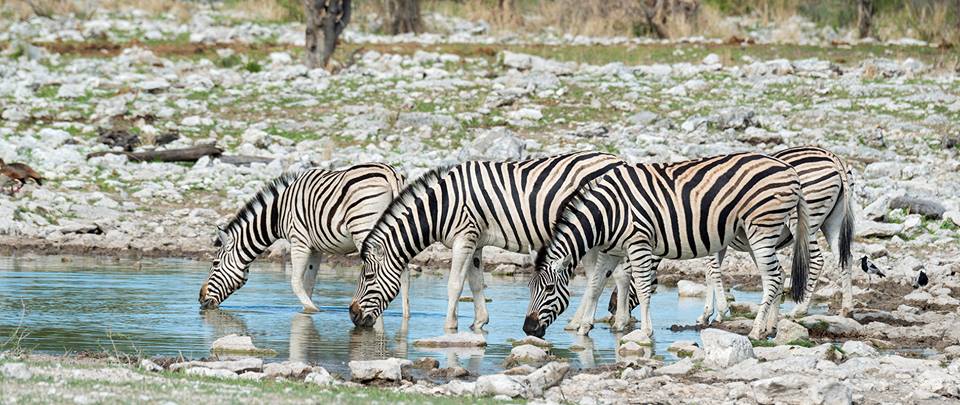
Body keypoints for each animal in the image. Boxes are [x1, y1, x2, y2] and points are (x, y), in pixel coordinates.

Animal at [199, 163, 408, 314]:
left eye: (215, 264)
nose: (200, 299)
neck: (278, 214)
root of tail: (389, 173)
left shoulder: (299, 240)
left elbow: (295, 282)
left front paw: (313, 309)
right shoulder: (316, 247)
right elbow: (308, 284)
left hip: (366, 229)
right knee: (402, 275)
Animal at [348, 152, 628, 332]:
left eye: (369, 277)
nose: (352, 315)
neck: (441, 207)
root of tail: (618, 160)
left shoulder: (464, 237)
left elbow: (455, 285)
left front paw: (449, 326)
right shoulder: (476, 242)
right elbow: (476, 283)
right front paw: (479, 322)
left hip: (591, 234)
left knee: (598, 279)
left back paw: (584, 323)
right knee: (616, 275)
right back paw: (615, 322)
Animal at [524, 153, 808, 340]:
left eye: (549, 289)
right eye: (529, 288)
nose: (528, 329)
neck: (607, 214)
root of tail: (789, 168)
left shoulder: (638, 243)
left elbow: (642, 287)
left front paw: (645, 331)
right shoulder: (610, 250)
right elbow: (595, 286)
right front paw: (584, 327)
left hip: (762, 227)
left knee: (773, 277)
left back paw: (756, 330)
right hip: (751, 233)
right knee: (779, 274)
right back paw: (770, 328)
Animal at [608, 147, 856, 324]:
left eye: (626, 282)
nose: (610, 308)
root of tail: (832, 157)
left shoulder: (711, 238)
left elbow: (712, 272)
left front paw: (718, 312)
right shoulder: (715, 240)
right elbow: (710, 274)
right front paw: (707, 314)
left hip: (804, 222)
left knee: (818, 259)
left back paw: (800, 308)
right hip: (832, 222)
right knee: (845, 258)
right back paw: (847, 308)